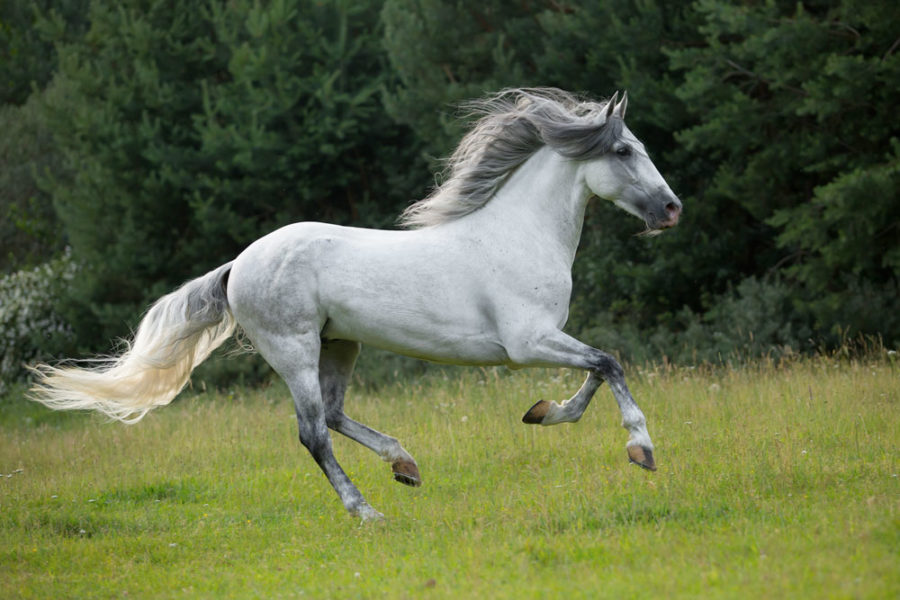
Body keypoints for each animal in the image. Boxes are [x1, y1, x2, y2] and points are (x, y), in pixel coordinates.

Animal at [33, 88, 684, 520]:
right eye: (624, 151)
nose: (672, 210)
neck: (517, 234)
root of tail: (239, 264)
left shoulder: (542, 340)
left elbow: (599, 368)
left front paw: (543, 412)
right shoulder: (527, 342)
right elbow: (609, 363)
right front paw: (641, 449)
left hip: (339, 344)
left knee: (335, 414)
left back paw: (405, 465)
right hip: (293, 349)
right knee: (313, 432)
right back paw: (365, 509)